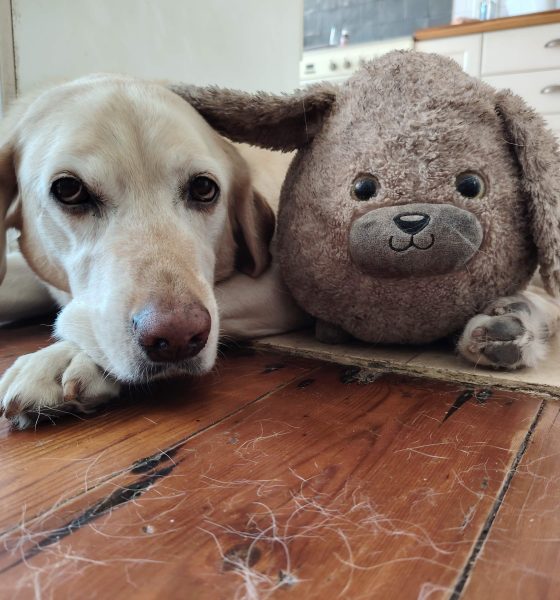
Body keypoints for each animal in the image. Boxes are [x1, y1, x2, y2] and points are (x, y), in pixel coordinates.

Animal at [0, 74, 305, 428]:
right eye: (68, 189)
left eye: (204, 188)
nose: (176, 338)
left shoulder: (279, 287)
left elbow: (220, 301)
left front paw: (65, 357)